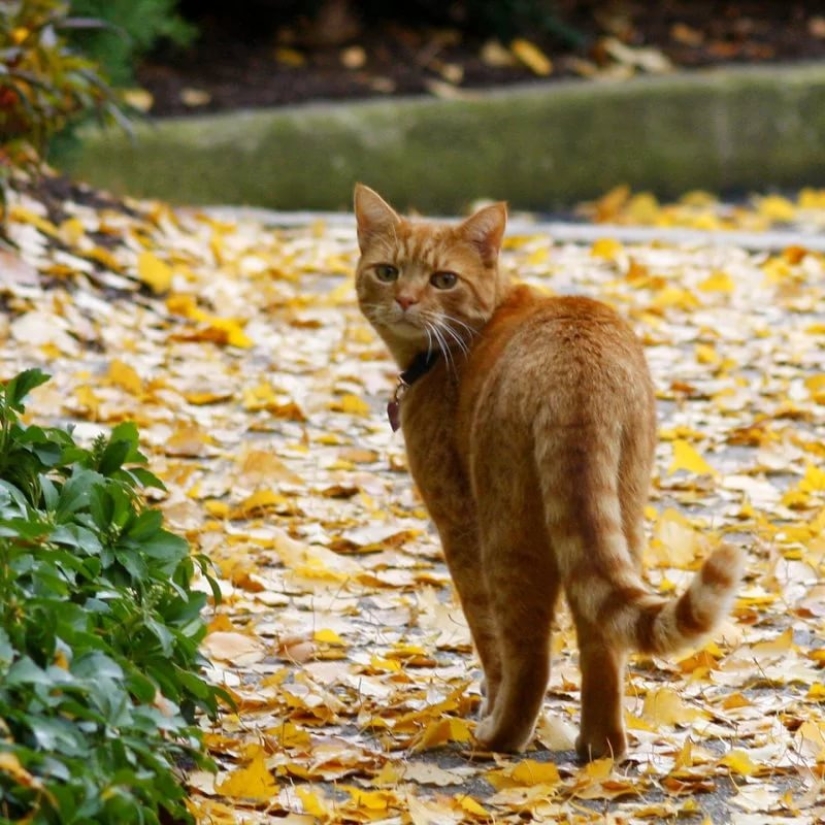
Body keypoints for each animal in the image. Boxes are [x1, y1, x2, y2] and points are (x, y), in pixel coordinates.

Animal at [350, 183, 744, 756]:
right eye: (387, 271)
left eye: (444, 279)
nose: (404, 300)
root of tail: (577, 366)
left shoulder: (457, 523)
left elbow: (487, 640)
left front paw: (488, 702)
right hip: (618, 514)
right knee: (601, 640)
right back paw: (599, 751)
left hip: (506, 533)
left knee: (529, 655)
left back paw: (498, 737)